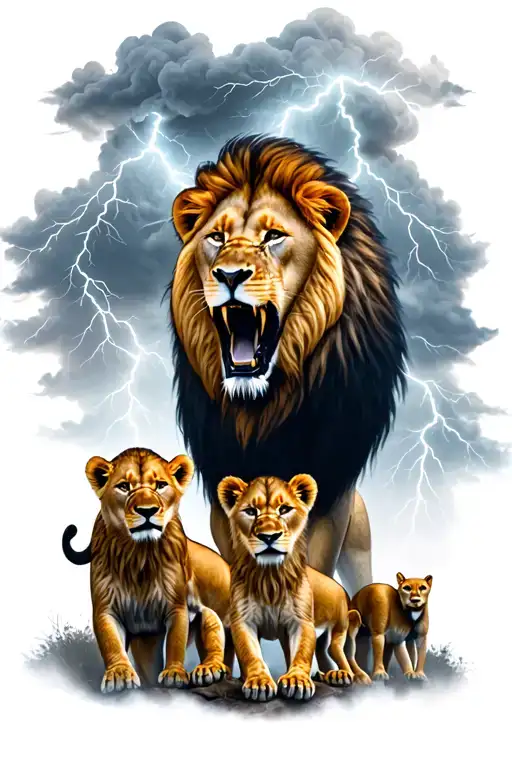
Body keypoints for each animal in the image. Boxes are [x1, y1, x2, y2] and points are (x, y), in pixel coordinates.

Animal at [61, 447, 232, 693]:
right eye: (124, 487)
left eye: (160, 485)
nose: (147, 511)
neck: (139, 555)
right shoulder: (106, 609)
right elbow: (111, 643)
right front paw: (119, 675)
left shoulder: (176, 607)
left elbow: (176, 641)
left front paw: (174, 673)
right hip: (146, 641)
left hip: (211, 616)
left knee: (217, 641)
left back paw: (209, 669)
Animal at [170, 134, 407, 603]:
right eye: (216, 237)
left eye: (274, 236)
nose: (229, 274)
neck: (264, 407)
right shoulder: (225, 492)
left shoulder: (329, 496)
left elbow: (312, 570)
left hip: (358, 535)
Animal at [217, 472, 371, 701]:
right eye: (251, 511)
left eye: (284, 509)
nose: (269, 536)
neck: (269, 577)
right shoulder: (244, 620)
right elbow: (250, 653)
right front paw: (258, 682)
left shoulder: (301, 621)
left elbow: (301, 652)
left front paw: (297, 681)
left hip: (339, 627)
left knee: (339, 653)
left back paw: (342, 675)